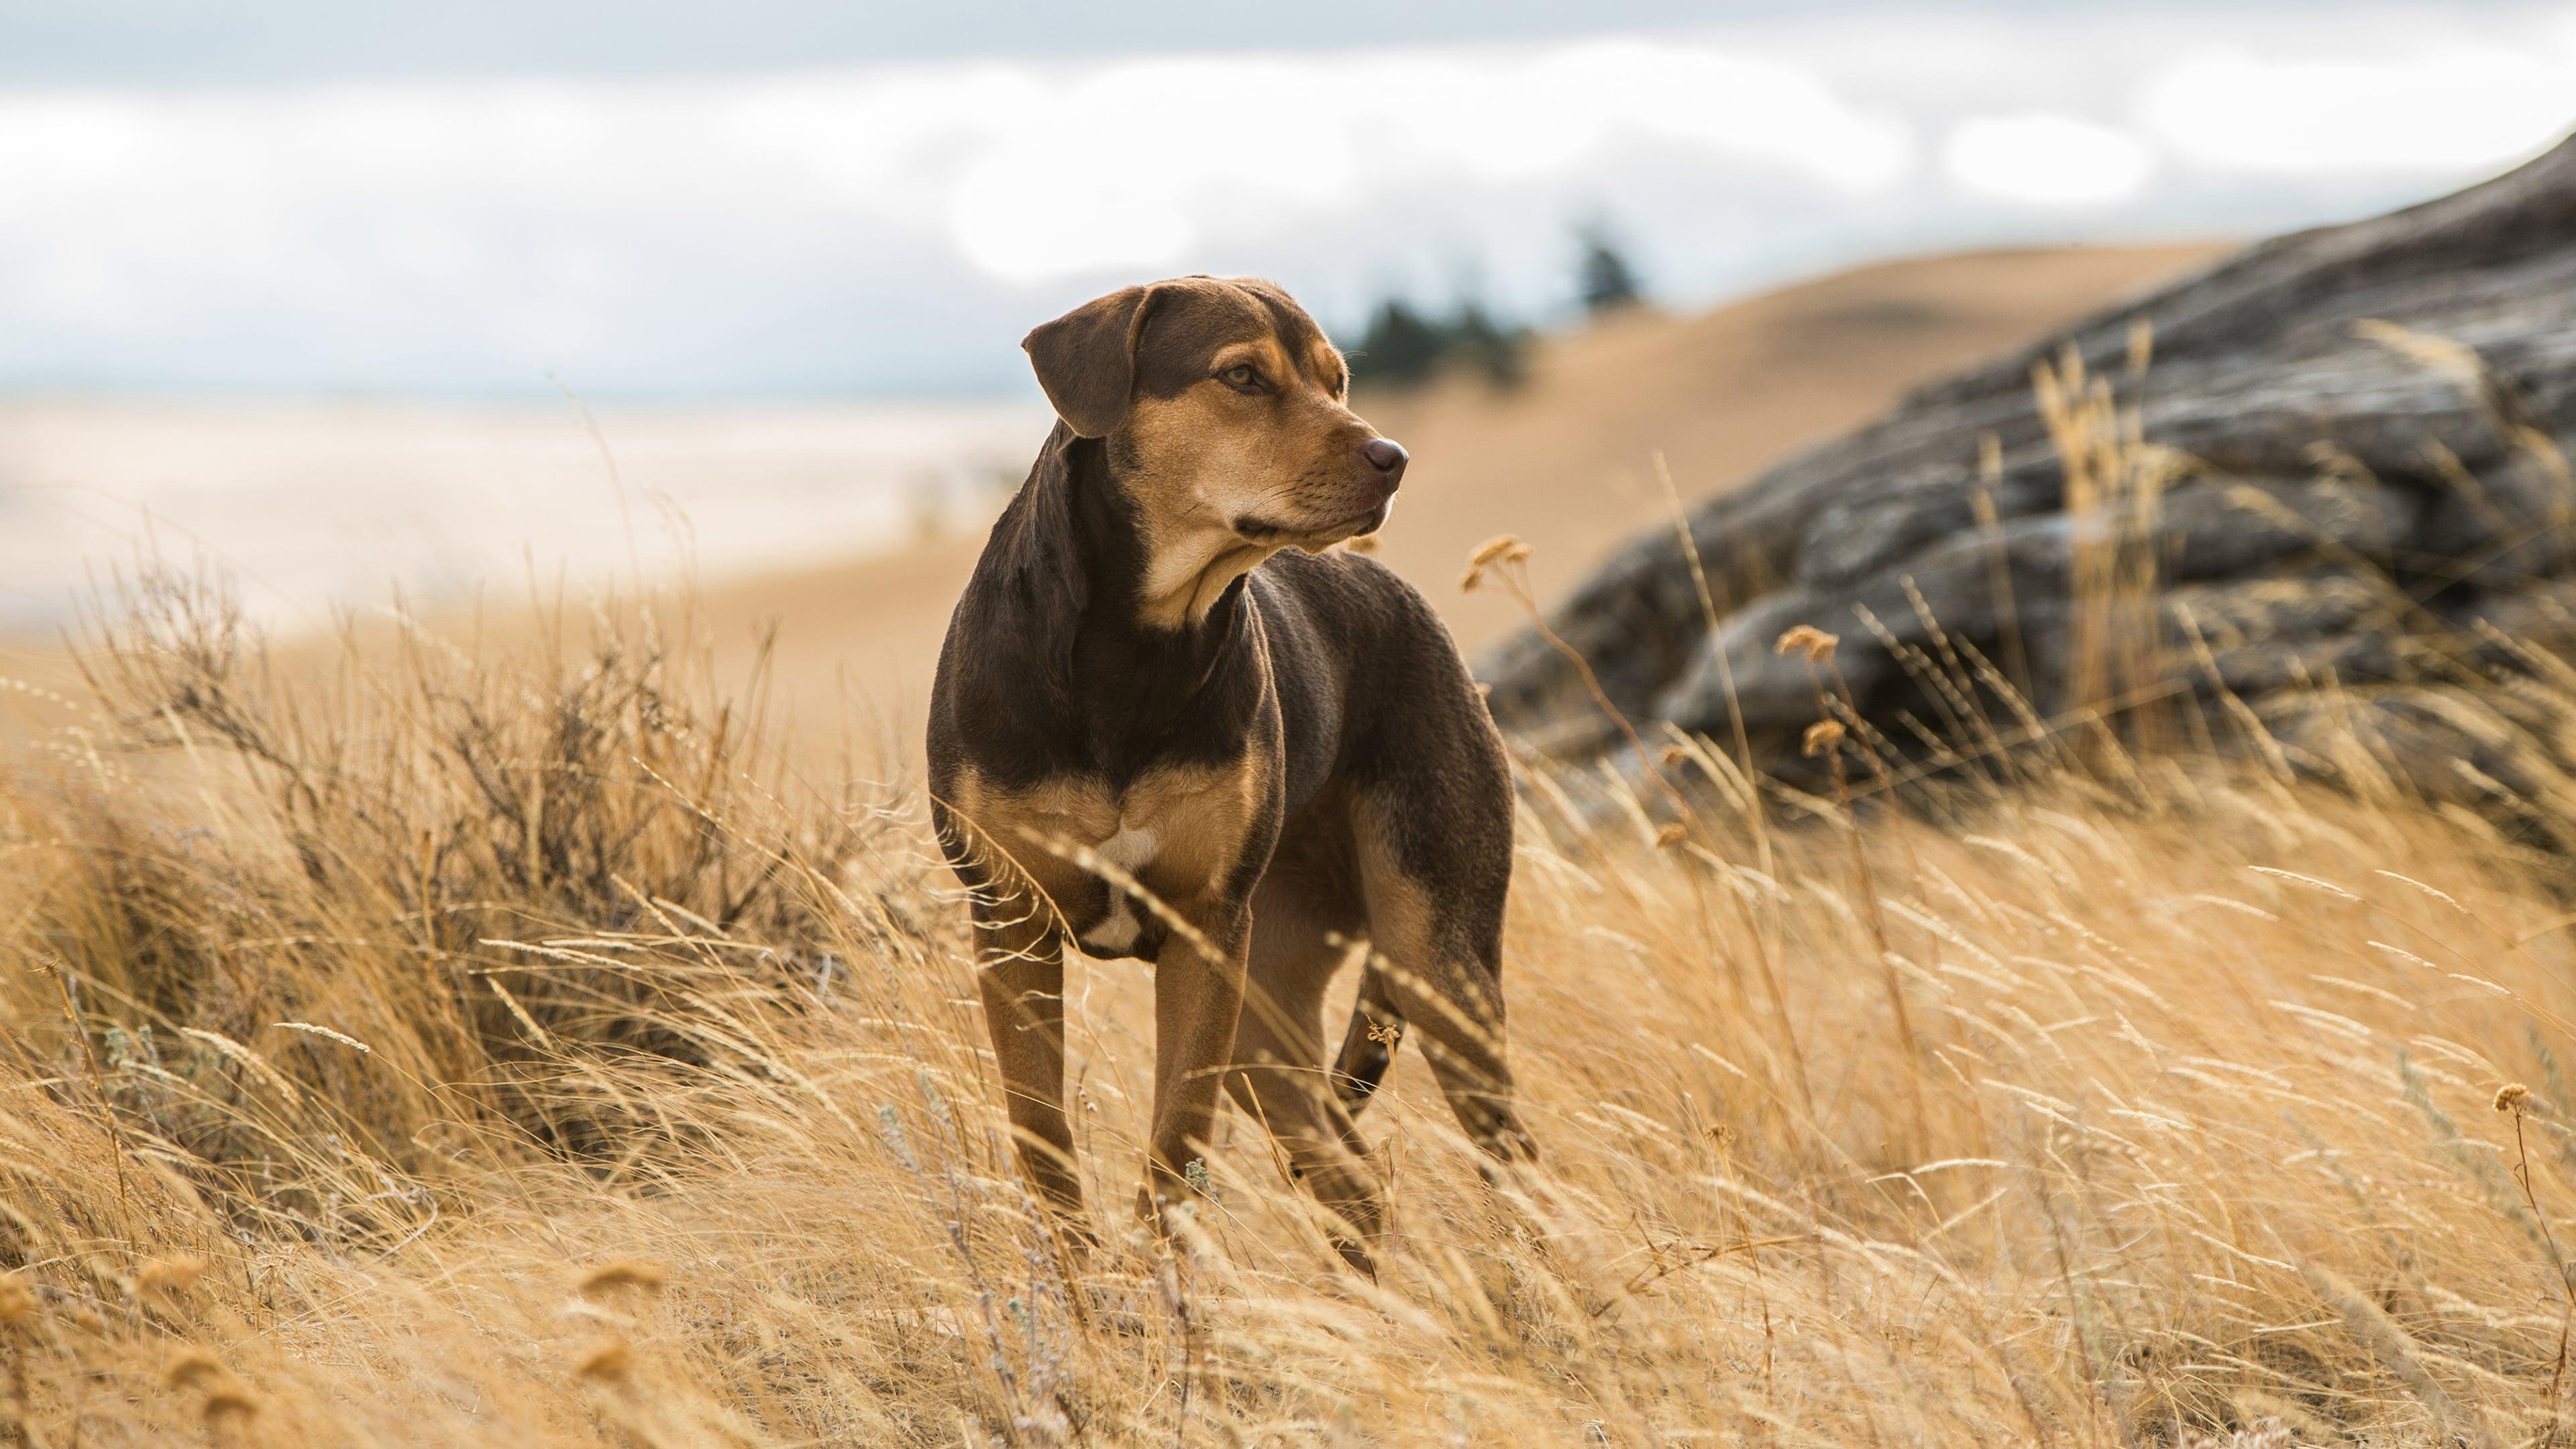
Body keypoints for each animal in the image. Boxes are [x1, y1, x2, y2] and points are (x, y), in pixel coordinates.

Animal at [927, 270, 1525, 1263]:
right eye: (1241, 376)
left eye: (1336, 378)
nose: (1393, 458)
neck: (1135, 648)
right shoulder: (1012, 922)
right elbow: (1044, 1145)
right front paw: (1086, 1292)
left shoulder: (1207, 933)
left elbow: (1174, 1153)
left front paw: (1162, 1293)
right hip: (1268, 1012)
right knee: (1353, 1175)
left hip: (1431, 957)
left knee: (1504, 1161)